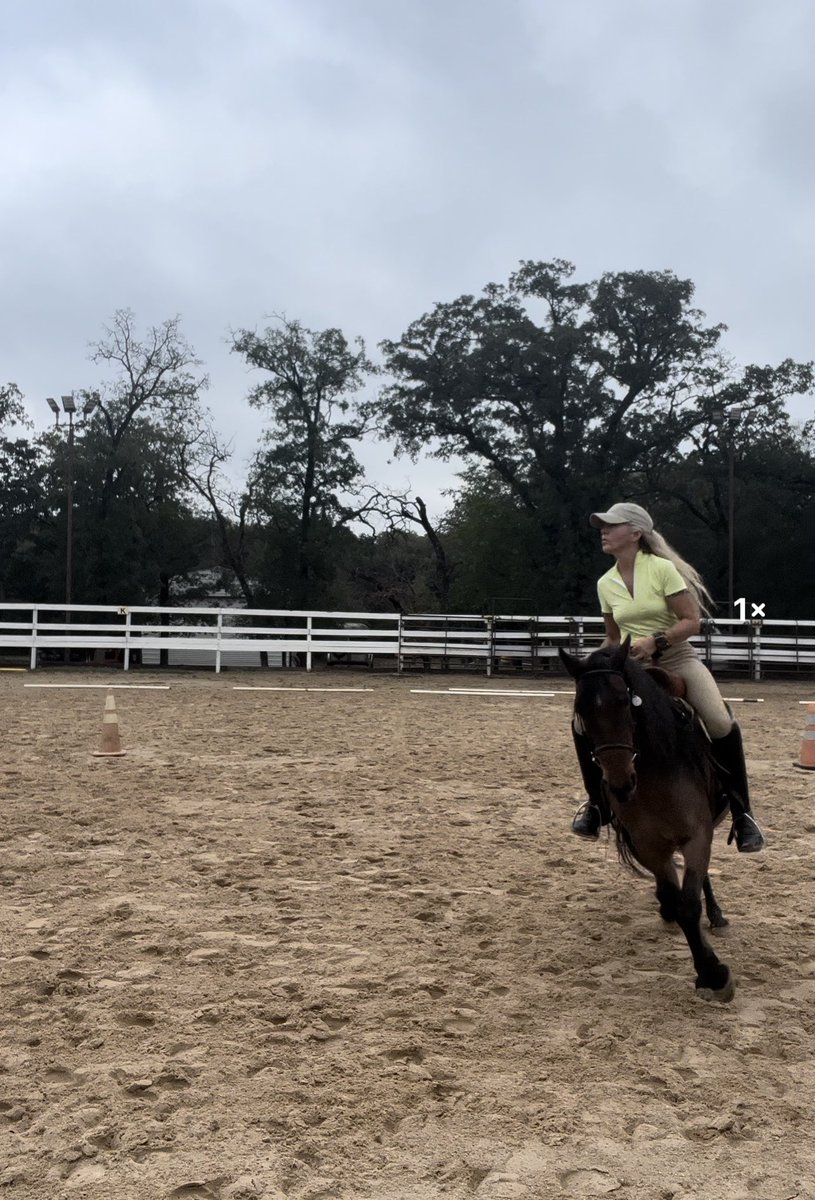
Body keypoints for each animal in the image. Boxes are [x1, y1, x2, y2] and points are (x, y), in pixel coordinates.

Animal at [559, 637, 735, 1002]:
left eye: (625, 701)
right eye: (581, 710)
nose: (620, 785)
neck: (654, 771)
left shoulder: (697, 835)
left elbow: (688, 904)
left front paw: (712, 975)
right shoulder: (649, 844)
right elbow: (674, 896)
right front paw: (709, 969)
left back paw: (716, 915)